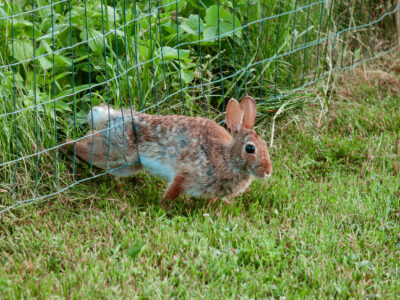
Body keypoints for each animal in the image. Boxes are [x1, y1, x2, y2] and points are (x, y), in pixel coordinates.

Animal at [65, 95, 274, 206]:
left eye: (265, 145)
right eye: (250, 148)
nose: (268, 171)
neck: (227, 158)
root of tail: (114, 117)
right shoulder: (184, 174)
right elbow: (172, 191)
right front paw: (161, 206)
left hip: (126, 165)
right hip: (114, 152)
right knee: (81, 146)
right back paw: (63, 147)